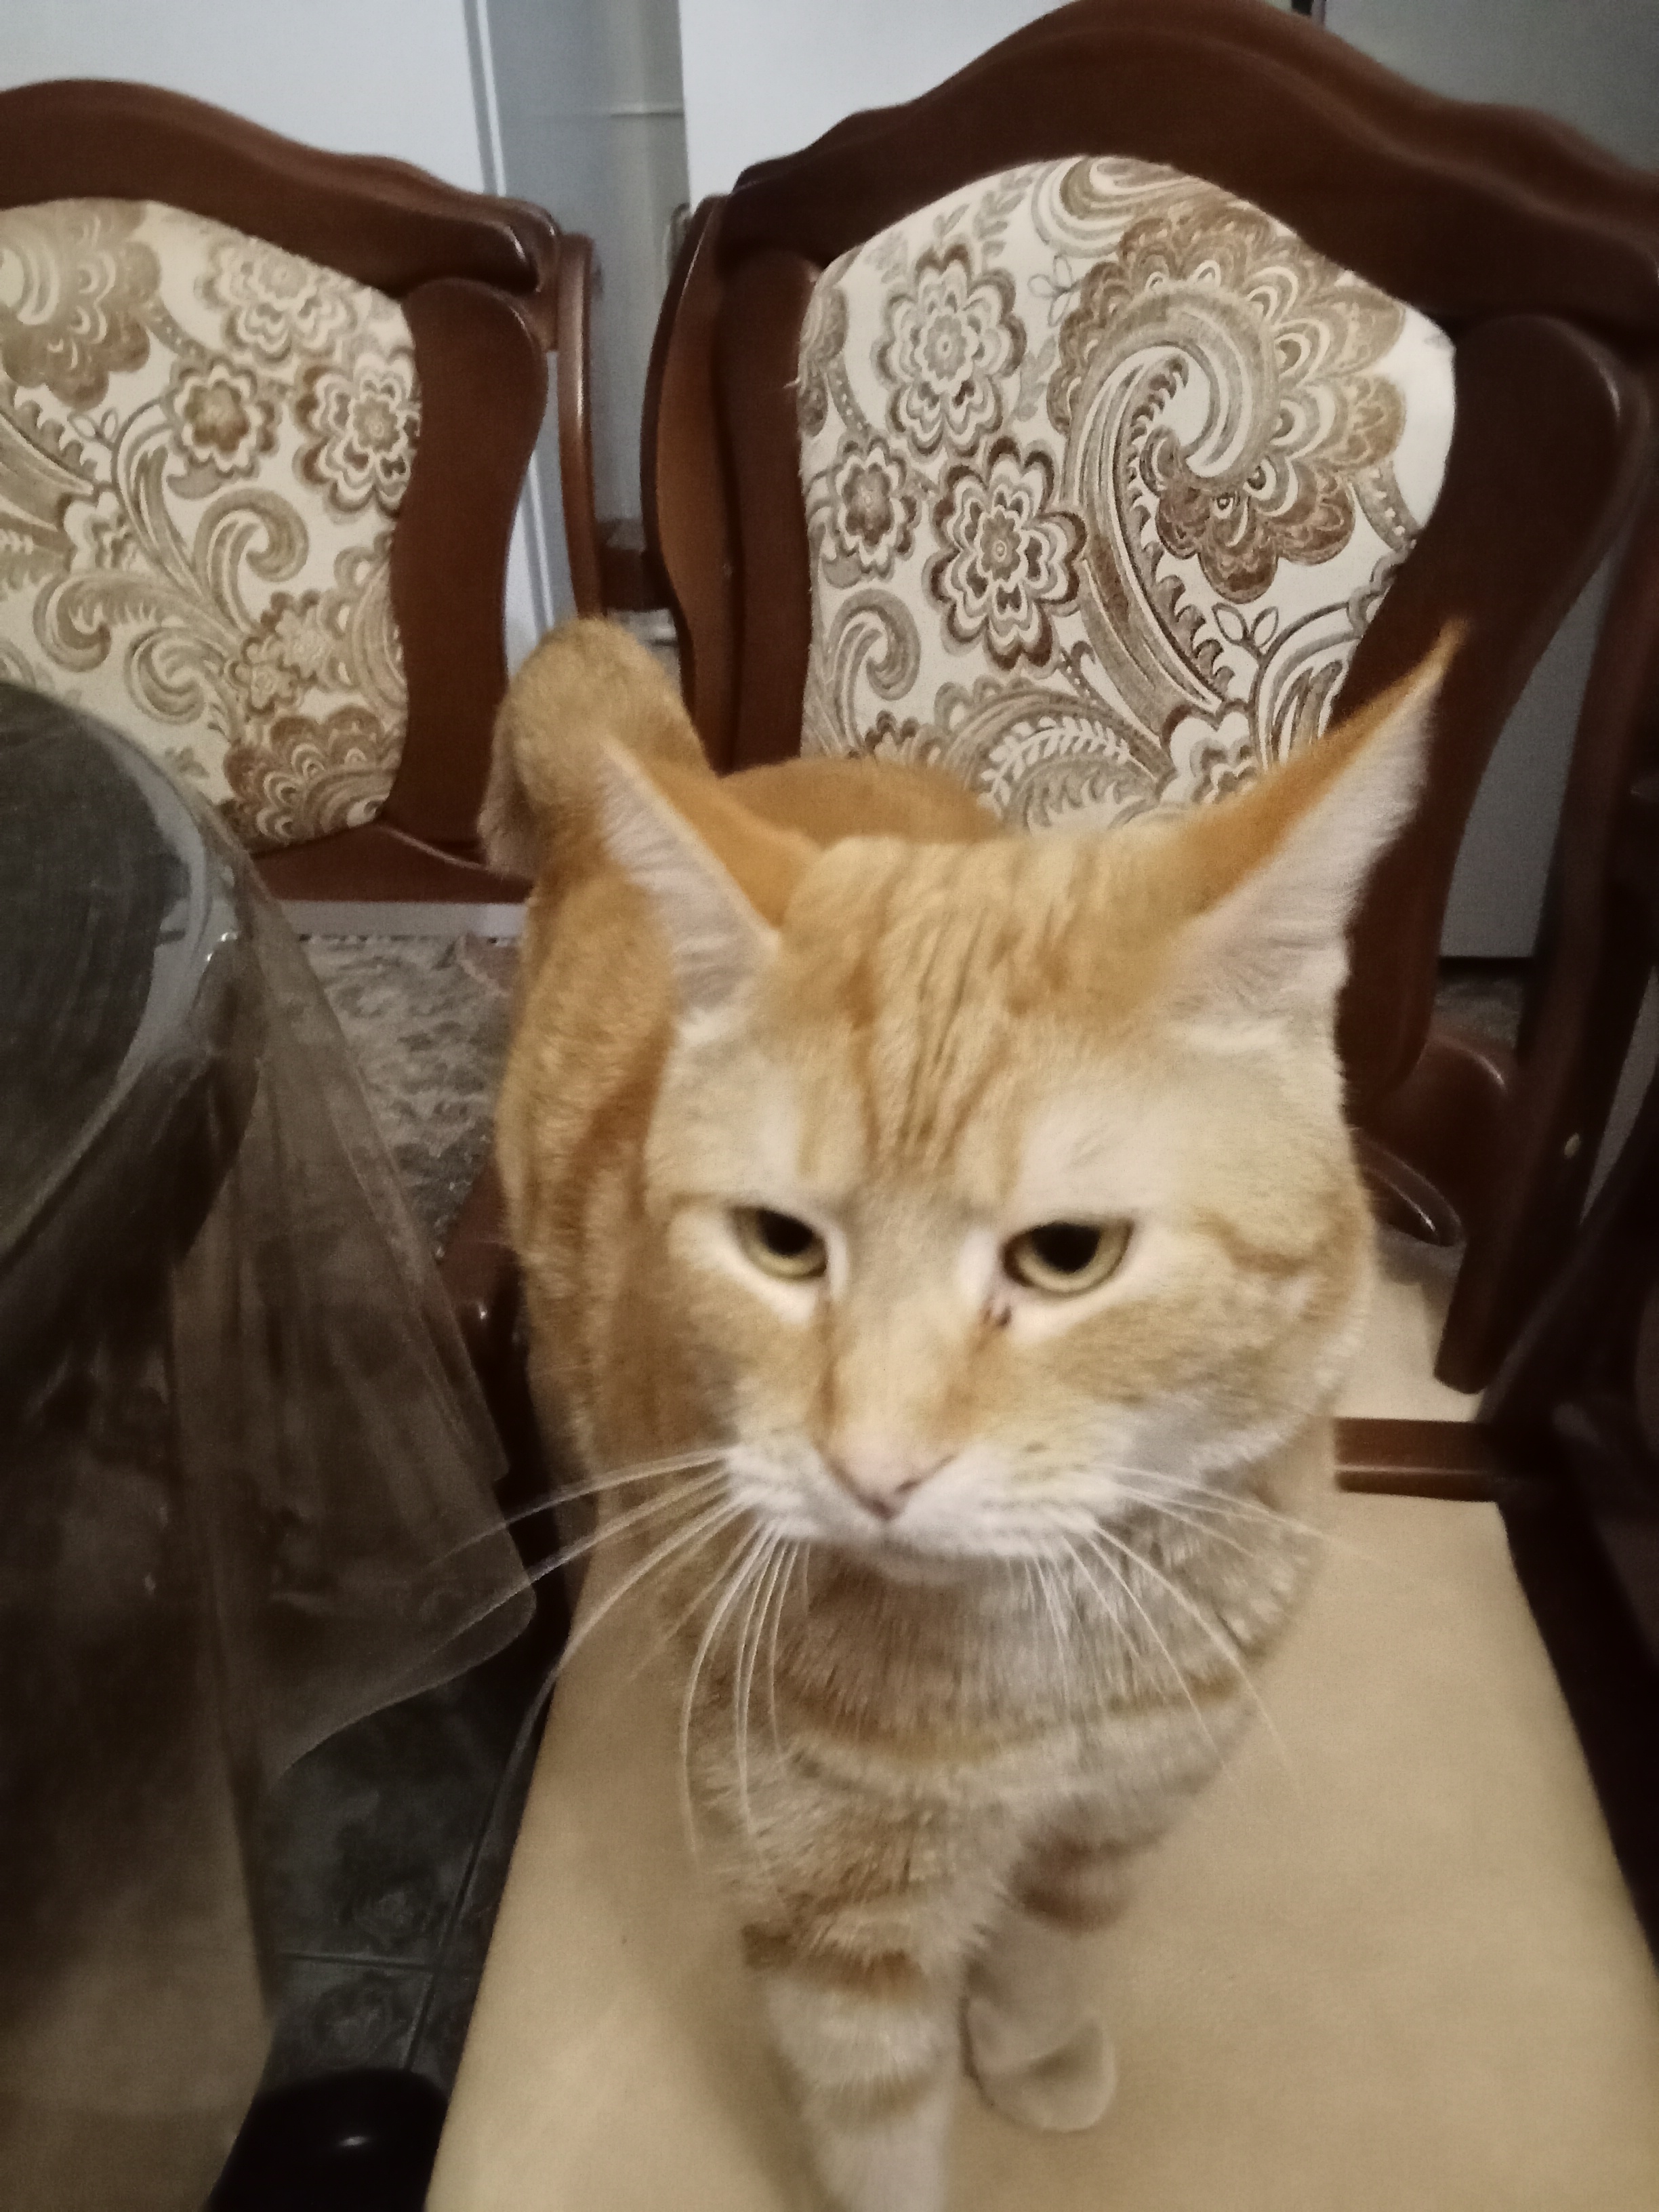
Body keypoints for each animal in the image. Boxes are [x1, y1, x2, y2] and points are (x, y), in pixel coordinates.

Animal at [484, 617, 1449, 2212]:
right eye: (781, 1244)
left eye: (1067, 1257)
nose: (872, 1468)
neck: (1054, 1667)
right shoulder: (834, 1915)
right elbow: (874, 2122)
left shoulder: (1127, 1803)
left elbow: (1052, 1947)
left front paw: (1035, 2048)